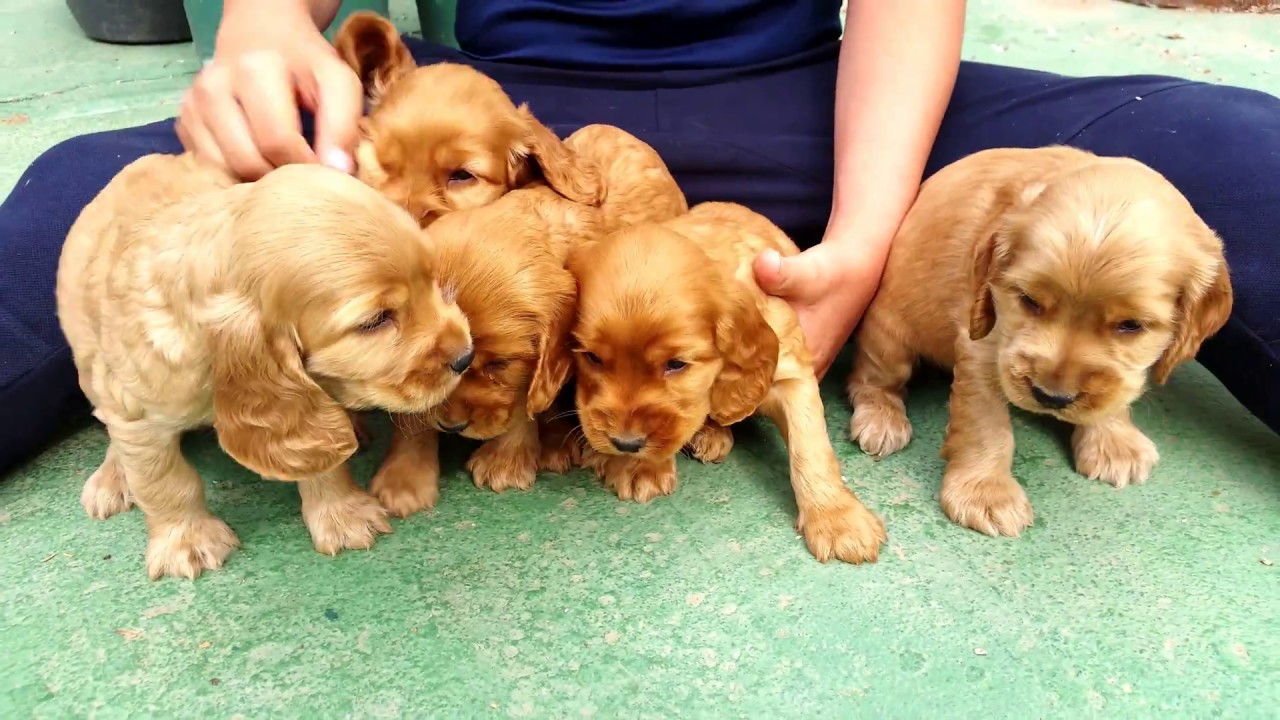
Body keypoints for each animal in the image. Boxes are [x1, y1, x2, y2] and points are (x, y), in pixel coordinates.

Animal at [56, 152, 476, 576]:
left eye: (431, 280)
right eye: (374, 321)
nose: (466, 356)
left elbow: (318, 452)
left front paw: (342, 515)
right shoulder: (140, 416)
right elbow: (164, 481)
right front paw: (187, 540)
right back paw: (112, 480)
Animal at [573, 199, 890, 561]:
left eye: (676, 364)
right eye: (592, 357)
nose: (626, 444)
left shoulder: (790, 371)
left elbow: (810, 446)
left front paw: (838, 519)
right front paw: (641, 467)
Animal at [849, 146, 1228, 535]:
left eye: (1130, 325)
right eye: (1029, 300)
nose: (1051, 398)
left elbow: (1114, 391)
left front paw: (1113, 444)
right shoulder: (984, 345)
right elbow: (986, 423)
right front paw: (986, 494)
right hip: (889, 336)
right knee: (872, 379)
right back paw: (882, 420)